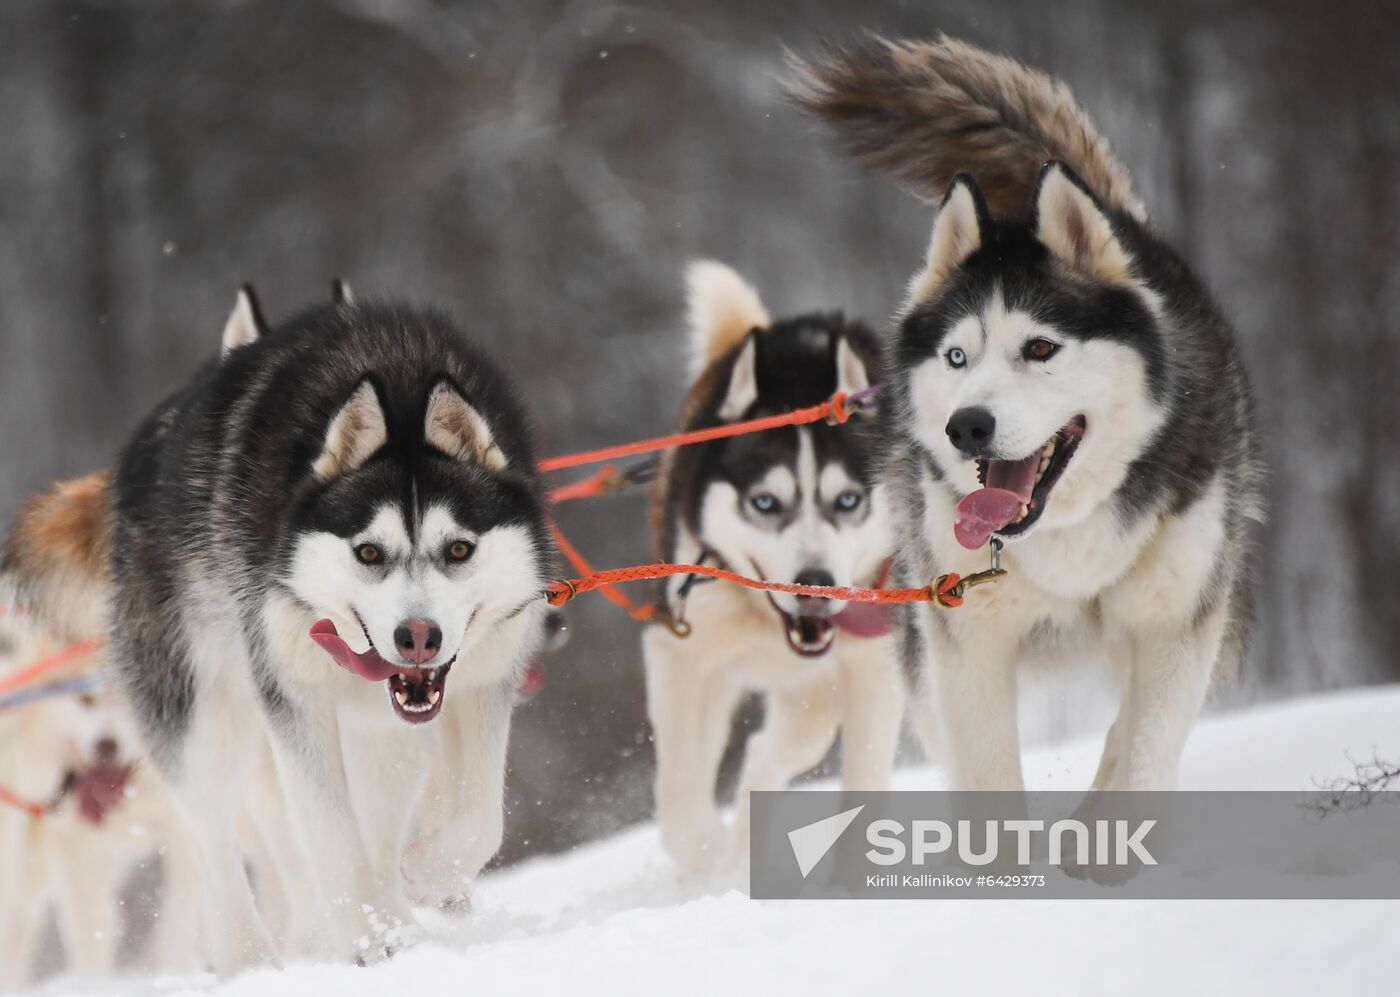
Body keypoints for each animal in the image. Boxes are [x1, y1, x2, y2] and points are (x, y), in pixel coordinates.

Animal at [98, 289, 551, 974]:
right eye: (368, 552)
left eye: (459, 549)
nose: (418, 636)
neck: (398, 376)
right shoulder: (294, 697)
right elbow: (331, 834)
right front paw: (369, 939)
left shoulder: (484, 681)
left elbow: (480, 818)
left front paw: (424, 876)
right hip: (204, 715)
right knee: (211, 829)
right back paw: (248, 957)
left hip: (378, 738)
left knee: (377, 819)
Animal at [641, 263, 901, 873]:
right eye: (765, 502)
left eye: (848, 500)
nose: (815, 585)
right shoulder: (679, 648)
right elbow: (681, 790)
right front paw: (703, 851)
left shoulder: (873, 666)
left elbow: (865, 774)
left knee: (776, 747)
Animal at [795, 35, 1265, 789]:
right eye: (957, 357)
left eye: (1040, 347)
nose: (967, 426)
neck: (1066, 534)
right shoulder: (968, 643)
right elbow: (988, 780)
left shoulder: (1174, 628)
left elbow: (1143, 759)